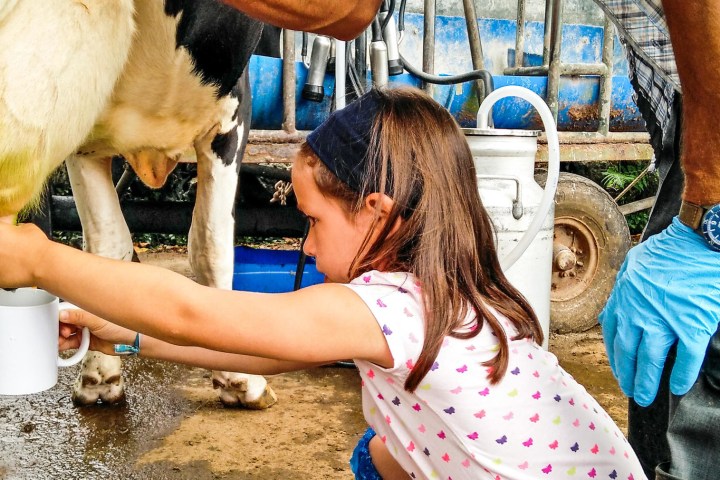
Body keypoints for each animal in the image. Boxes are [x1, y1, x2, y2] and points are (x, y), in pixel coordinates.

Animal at [0, 0, 278, 408]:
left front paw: (237, 376)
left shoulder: (230, 114)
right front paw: (100, 373)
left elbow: (210, 245)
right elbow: (107, 247)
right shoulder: (84, 134)